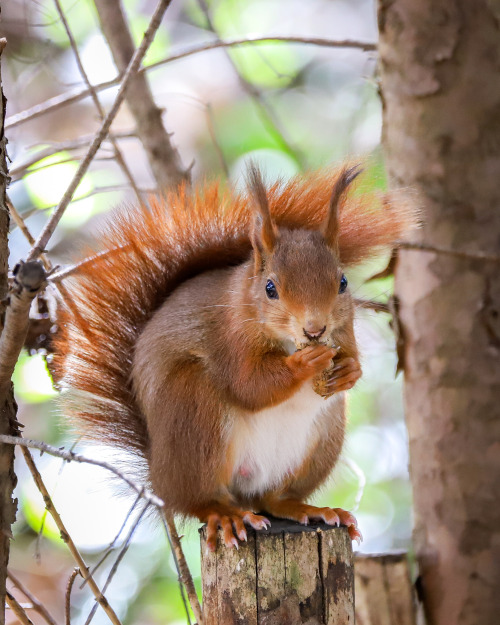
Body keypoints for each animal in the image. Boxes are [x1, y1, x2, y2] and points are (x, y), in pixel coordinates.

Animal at [53, 163, 414, 548]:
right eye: (270, 288)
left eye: (343, 282)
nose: (314, 330)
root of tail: (160, 478)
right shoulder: (230, 339)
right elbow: (248, 385)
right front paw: (302, 364)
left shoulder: (343, 331)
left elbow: (349, 357)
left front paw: (348, 369)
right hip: (193, 412)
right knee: (200, 500)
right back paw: (225, 515)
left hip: (322, 440)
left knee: (272, 498)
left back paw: (305, 508)